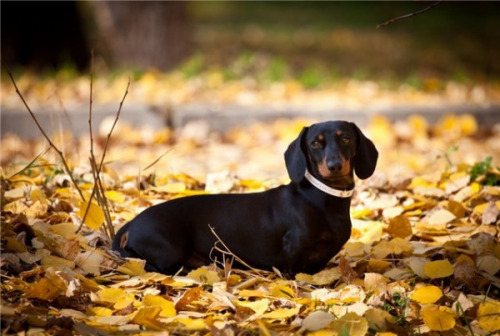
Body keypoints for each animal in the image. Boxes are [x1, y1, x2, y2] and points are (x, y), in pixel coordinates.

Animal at [113, 121, 376, 276]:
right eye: (314, 143)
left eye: (346, 139)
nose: (334, 166)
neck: (321, 198)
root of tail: (131, 223)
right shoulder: (292, 256)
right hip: (170, 251)